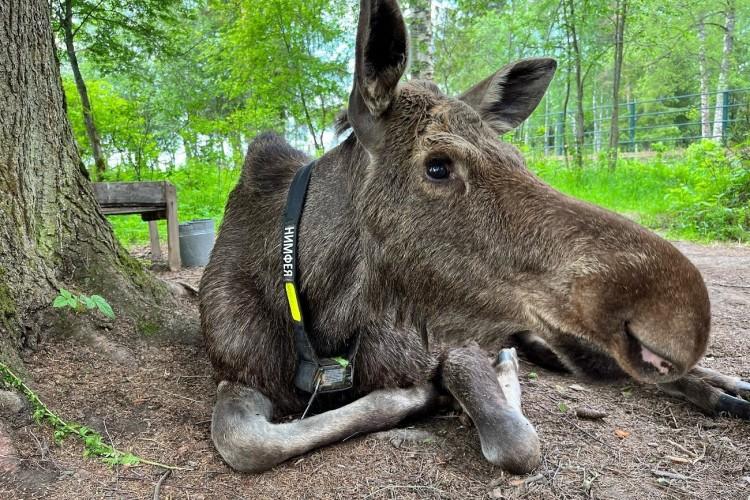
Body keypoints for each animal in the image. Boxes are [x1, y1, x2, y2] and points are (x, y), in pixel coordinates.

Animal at [201, 0, 750, 472]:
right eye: (438, 166)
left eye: (519, 159)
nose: (680, 318)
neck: (323, 313)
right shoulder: (236, 371)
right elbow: (245, 442)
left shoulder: (448, 344)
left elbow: (516, 441)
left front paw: (467, 384)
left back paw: (729, 387)